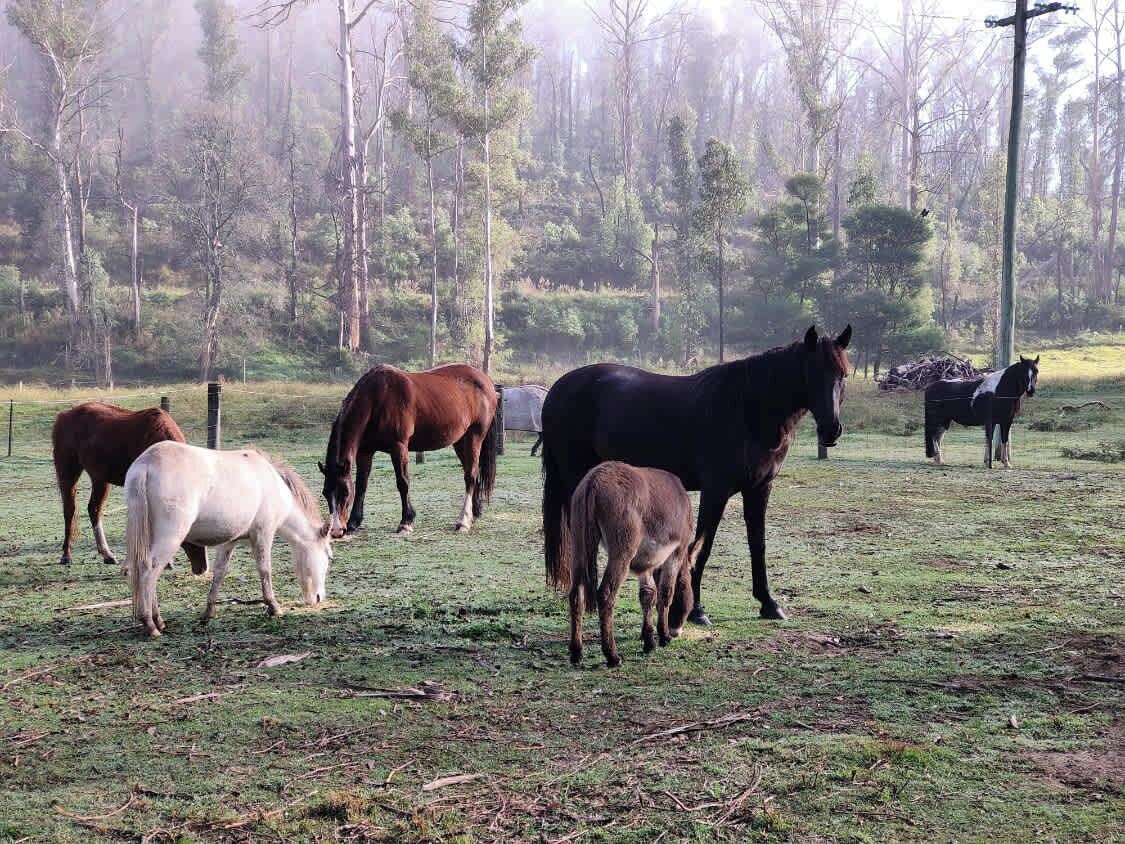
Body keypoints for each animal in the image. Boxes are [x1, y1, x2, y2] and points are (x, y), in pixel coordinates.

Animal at [52, 402, 208, 573]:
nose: (202, 568)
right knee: (70, 511)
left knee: (94, 510)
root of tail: (65, 414)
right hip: (68, 474)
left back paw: (107, 554)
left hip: (100, 479)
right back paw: (66, 555)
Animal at [125, 442, 332, 637]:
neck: (273, 482)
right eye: (328, 557)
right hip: (170, 537)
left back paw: (158, 621)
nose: (319, 598)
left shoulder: (229, 541)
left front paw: (209, 611)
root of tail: (147, 463)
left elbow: (219, 572)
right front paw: (274, 607)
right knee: (149, 570)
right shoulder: (263, 533)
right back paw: (150, 623)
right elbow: (265, 570)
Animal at [320, 364, 500, 538]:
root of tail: (486, 381)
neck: (377, 396)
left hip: (474, 437)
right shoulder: (365, 451)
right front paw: (353, 522)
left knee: (470, 477)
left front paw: (406, 522)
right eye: (325, 493)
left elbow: (403, 482)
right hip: (461, 442)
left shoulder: (399, 447)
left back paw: (463, 521)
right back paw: (474, 513)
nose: (336, 531)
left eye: (344, 492)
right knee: (472, 473)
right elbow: (362, 484)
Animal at [542, 324, 852, 625]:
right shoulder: (715, 490)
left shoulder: (759, 488)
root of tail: (558, 388)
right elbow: (702, 548)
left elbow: (758, 545)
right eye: (811, 373)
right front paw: (696, 610)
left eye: (843, 374)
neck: (748, 408)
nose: (831, 430)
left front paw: (768, 603)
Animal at [568, 462, 703, 668]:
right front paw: (663, 637)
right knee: (605, 595)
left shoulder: (646, 562)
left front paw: (649, 641)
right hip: (622, 552)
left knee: (576, 594)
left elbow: (648, 594)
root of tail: (594, 479)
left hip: (578, 546)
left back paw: (576, 653)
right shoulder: (676, 552)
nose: (676, 631)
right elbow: (666, 593)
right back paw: (612, 656)